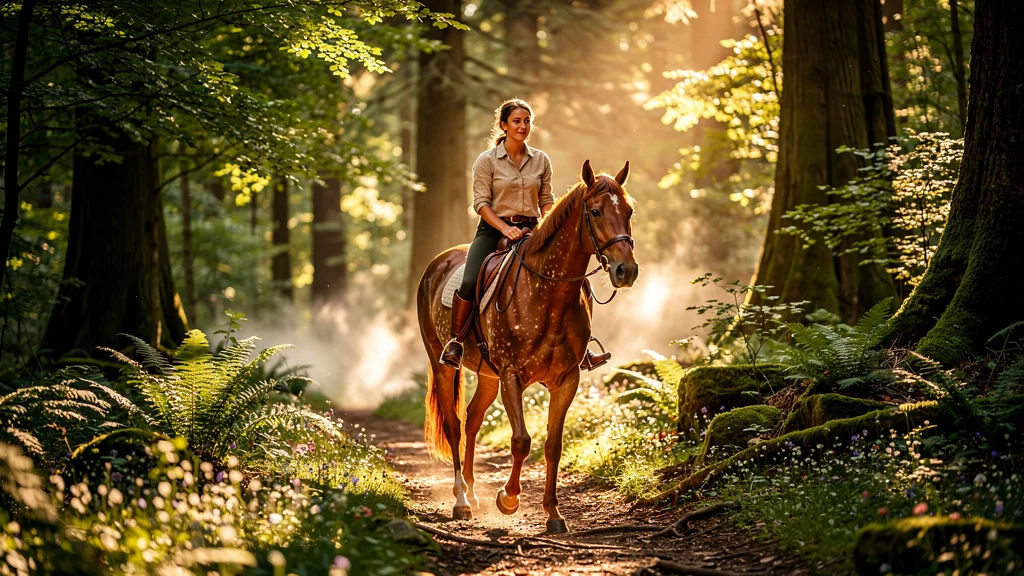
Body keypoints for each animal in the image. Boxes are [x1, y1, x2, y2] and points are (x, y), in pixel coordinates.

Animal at [415, 159, 638, 534]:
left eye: (629, 211)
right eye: (595, 211)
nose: (627, 271)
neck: (547, 296)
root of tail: (436, 265)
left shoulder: (566, 380)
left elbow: (552, 445)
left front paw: (553, 513)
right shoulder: (511, 376)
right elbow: (521, 441)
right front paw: (508, 499)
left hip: (487, 376)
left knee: (473, 420)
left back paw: (472, 493)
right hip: (442, 363)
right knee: (455, 425)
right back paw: (461, 501)